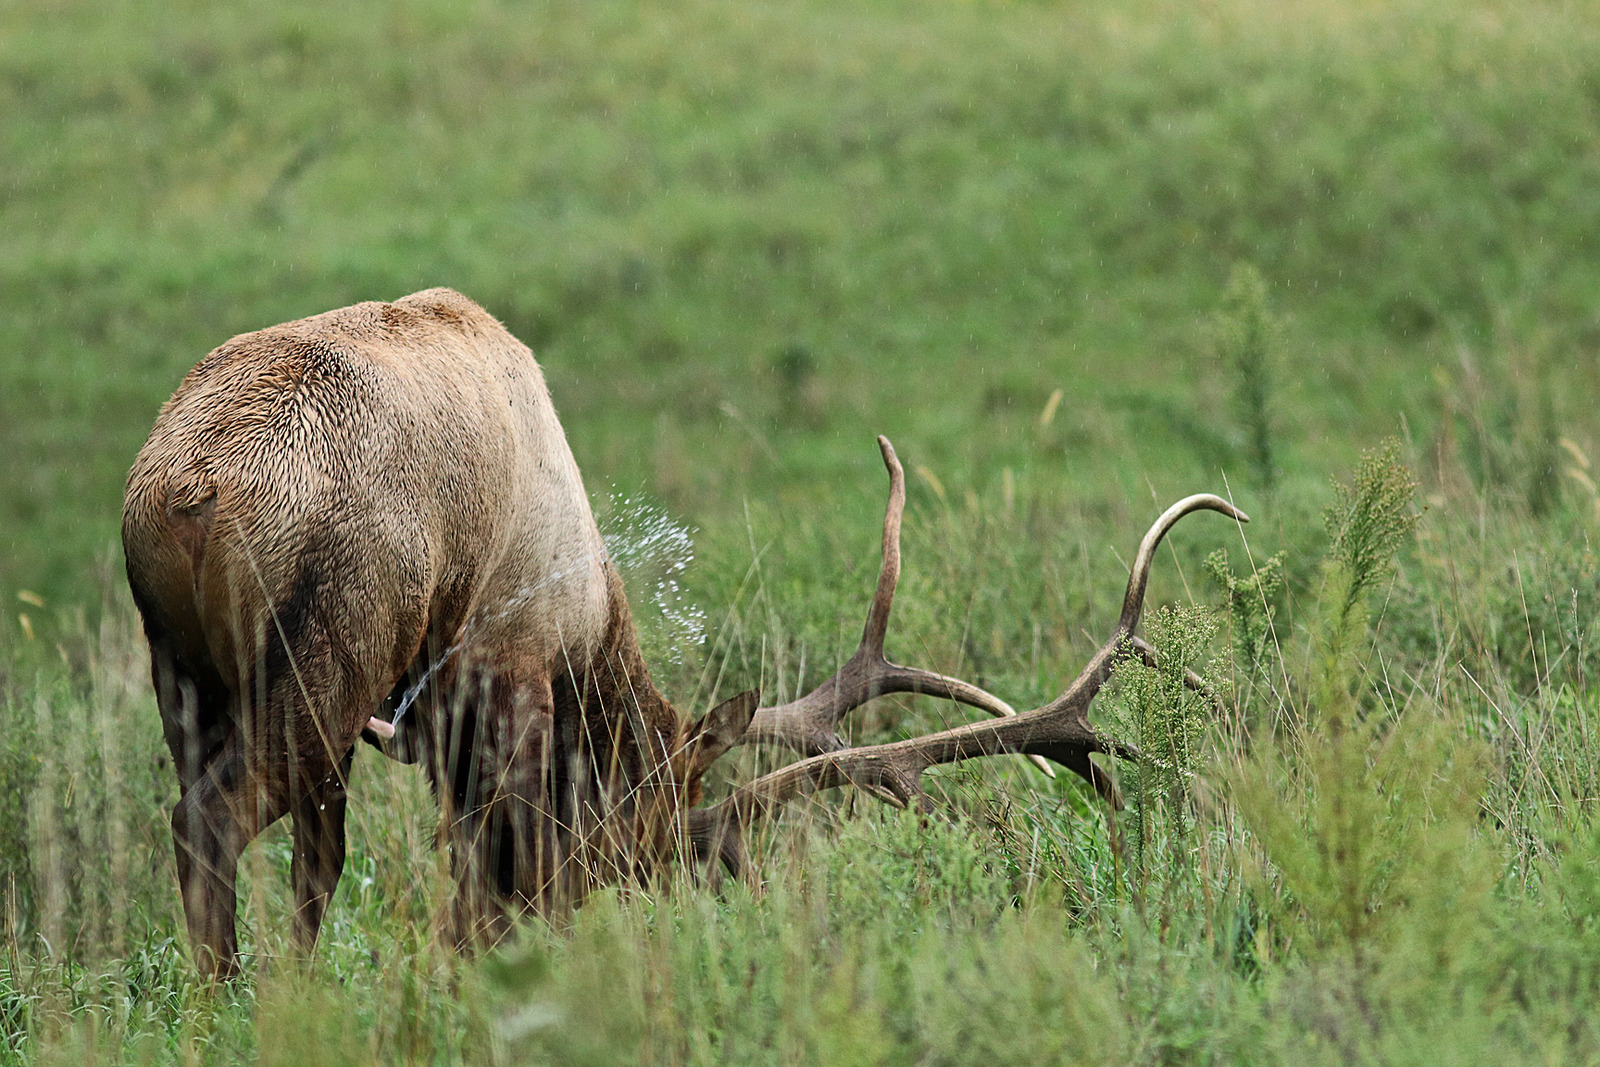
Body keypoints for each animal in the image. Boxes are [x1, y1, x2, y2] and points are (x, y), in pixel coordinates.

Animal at [122, 288, 1244, 980]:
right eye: (656, 835)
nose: (644, 901)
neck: (591, 627)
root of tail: (184, 488)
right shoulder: (508, 670)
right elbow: (497, 874)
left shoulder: (432, 717)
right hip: (330, 654)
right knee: (226, 822)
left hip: (186, 673)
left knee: (263, 838)